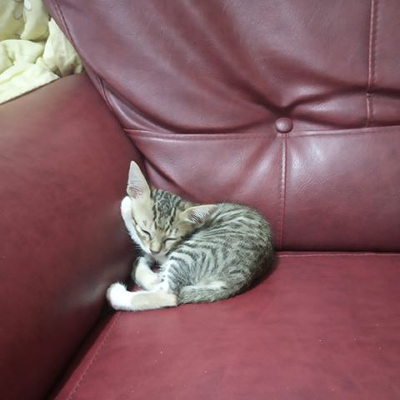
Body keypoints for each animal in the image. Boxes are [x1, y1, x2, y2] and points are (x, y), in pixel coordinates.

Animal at [107, 161, 273, 311]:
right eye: (146, 231)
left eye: (170, 239)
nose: (154, 250)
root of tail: (239, 278)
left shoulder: (168, 250)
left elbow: (136, 234)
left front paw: (126, 204)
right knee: (159, 281)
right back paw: (142, 264)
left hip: (188, 252)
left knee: (169, 294)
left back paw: (117, 294)